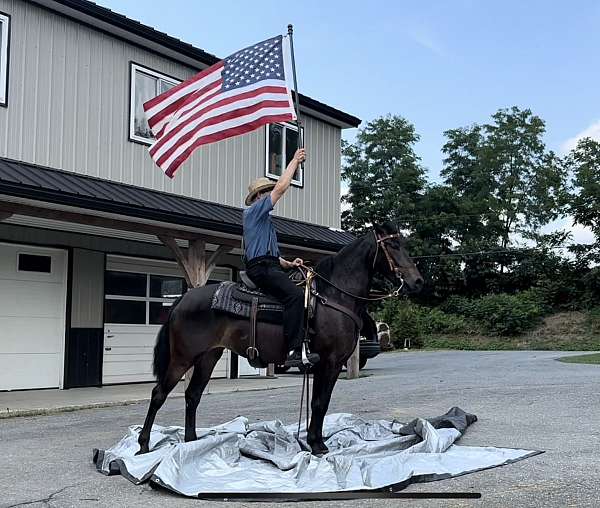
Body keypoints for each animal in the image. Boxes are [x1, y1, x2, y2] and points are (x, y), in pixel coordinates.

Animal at [136, 222, 422, 456]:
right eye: (393, 245)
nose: (417, 282)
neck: (333, 295)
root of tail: (183, 299)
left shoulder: (327, 365)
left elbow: (319, 403)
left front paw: (315, 441)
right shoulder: (328, 362)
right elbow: (320, 403)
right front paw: (317, 446)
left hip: (208, 357)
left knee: (192, 395)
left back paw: (192, 442)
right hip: (182, 358)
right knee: (159, 394)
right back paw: (144, 445)